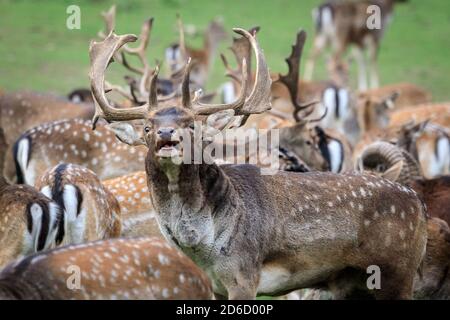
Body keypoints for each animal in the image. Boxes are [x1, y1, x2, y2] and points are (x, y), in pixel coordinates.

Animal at [89, 28, 428, 300]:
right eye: (147, 127)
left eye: (192, 124)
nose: (165, 133)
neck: (203, 248)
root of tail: (420, 205)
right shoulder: (215, 285)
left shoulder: (244, 275)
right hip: (354, 283)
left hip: (398, 272)